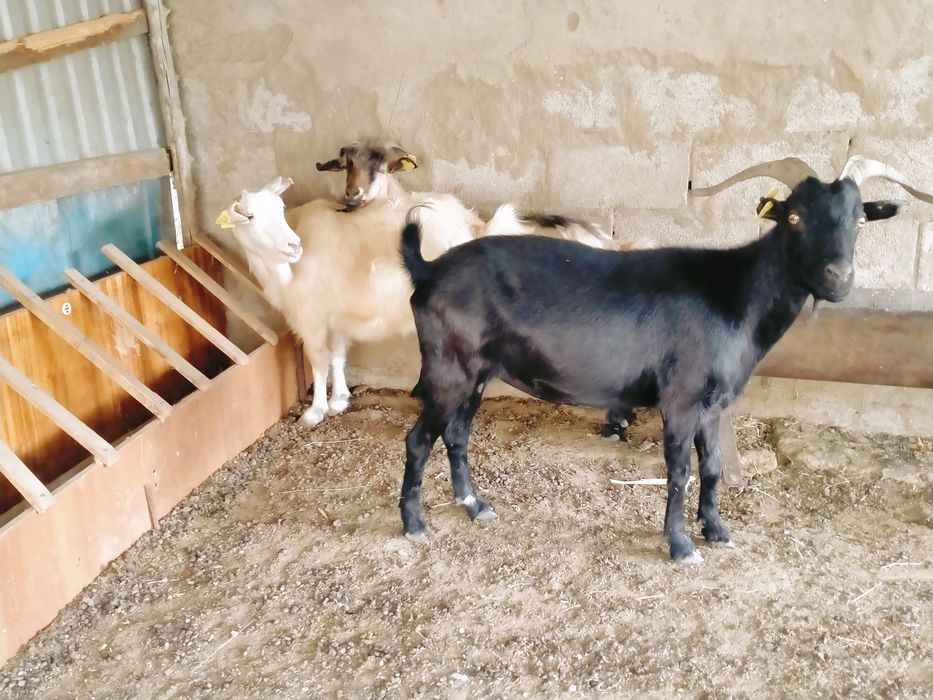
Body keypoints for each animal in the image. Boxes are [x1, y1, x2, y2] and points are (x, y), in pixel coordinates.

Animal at [218, 177, 509, 427]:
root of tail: (476, 226)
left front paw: (314, 412)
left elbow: (319, 361)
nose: (294, 245)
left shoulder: (310, 317)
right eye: (250, 216)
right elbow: (337, 355)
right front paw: (339, 400)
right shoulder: (335, 318)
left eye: (280, 209)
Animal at [396, 155, 930, 563]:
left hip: (477, 372)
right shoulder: (682, 397)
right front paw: (681, 545)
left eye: (860, 218)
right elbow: (679, 472)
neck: (735, 294)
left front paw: (716, 531)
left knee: (456, 434)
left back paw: (474, 505)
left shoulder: (714, 404)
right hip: (448, 367)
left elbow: (712, 466)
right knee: (420, 439)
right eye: (794, 217)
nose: (839, 276)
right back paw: (414, 523)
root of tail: (429, 269)